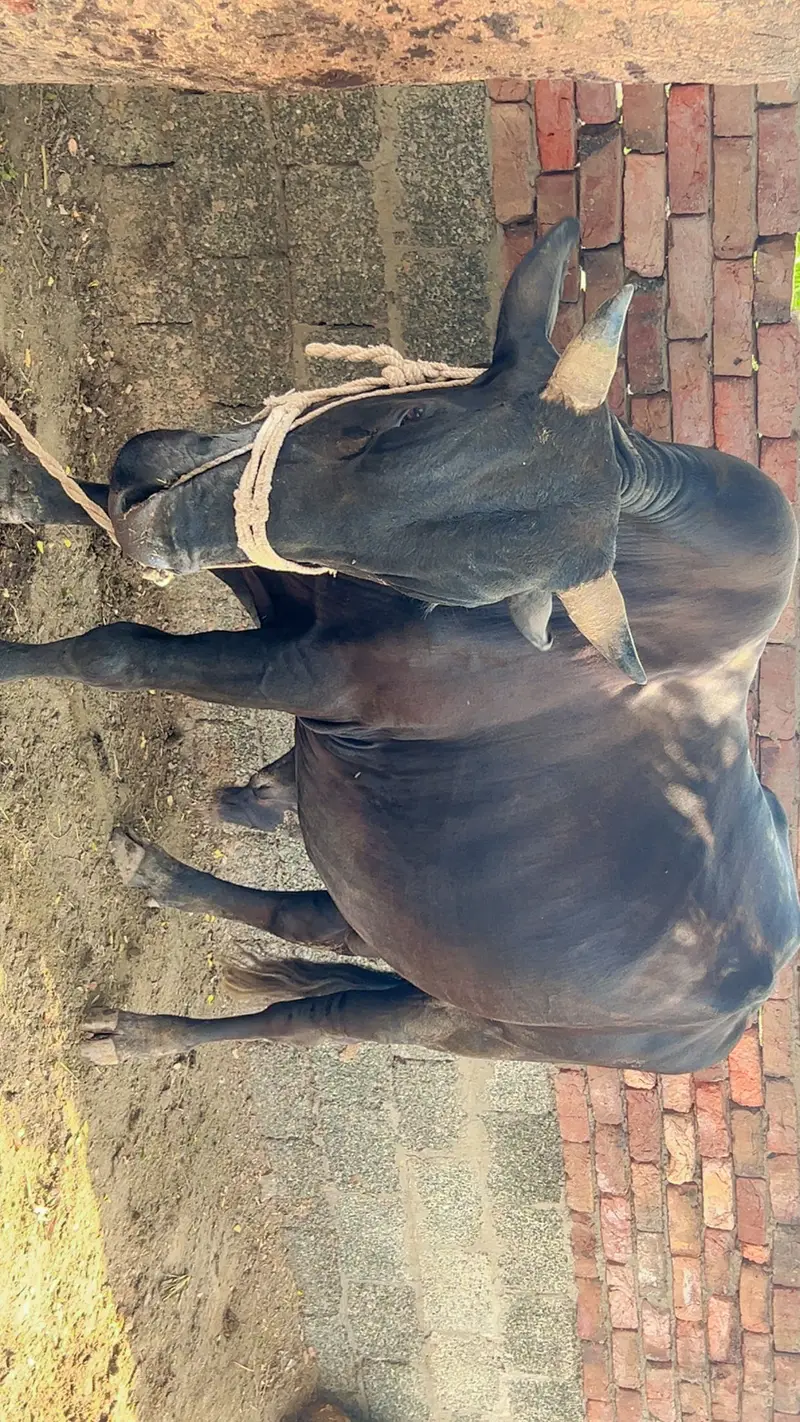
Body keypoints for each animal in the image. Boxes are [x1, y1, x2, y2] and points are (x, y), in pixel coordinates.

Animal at [0, 218, 797, 1073]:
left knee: (312, 1017)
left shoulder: (309, 673)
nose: (164, 526)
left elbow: (115, 652)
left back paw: (142, 1032)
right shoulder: (268, 565)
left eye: (463, 592)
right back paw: (164, 873)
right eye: (405, 421)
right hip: (390, 927)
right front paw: (25, 488)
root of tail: (735, 1014)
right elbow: (82, 502)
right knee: (305, 921)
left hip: (460, 1021)